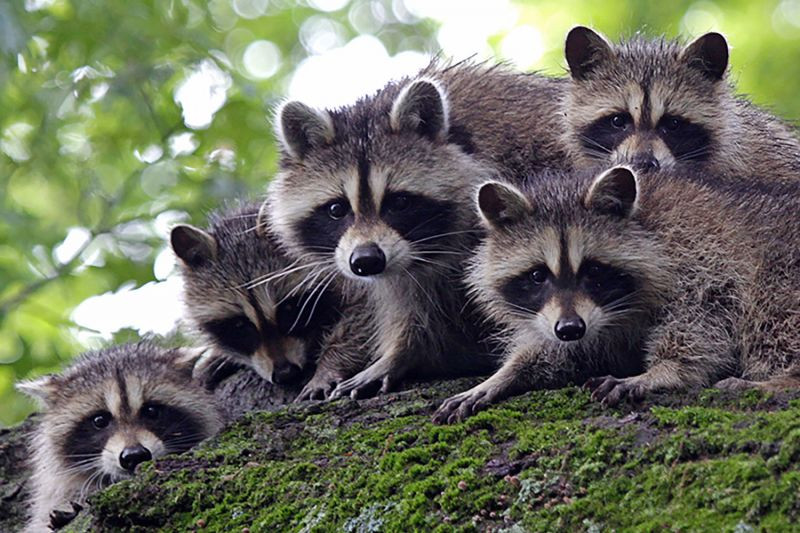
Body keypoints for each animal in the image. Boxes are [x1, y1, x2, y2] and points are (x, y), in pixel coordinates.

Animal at [172, 203, 372, 400]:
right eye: (239, 325)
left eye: (288, 308)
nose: (285, 373)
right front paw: (219, 358)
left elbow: (363, 314)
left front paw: (329, 366)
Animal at [434, 164, 800, 422]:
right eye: (538, 275)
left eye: (594, 271)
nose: (570, 328)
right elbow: (563, 351)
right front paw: (504, 374)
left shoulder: (704, 258)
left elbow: (703, 321)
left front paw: (664, 371)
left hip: (783, 265)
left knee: (772, 312)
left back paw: (784, 380)